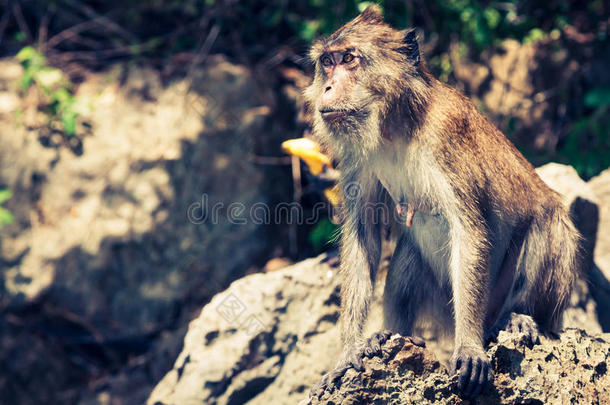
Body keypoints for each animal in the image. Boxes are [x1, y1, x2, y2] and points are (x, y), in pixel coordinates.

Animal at [304, 6, 580, 398]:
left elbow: (469, 232)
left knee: (549, 224)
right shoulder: (357, 154)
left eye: (349, 59)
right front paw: (348, 353)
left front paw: (468, 347)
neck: (397, 123)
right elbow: (364, 237)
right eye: (327, 62)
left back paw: (520, 317)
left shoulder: (446, 134)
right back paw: (391, 337)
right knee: (408, 253)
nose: (327, 87)